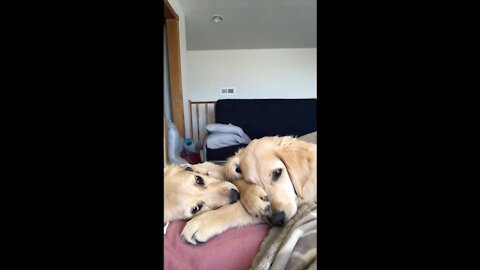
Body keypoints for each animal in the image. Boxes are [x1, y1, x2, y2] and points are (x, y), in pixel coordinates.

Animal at [181, 136, 316, 244]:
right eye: (251, 182)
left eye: (277, 172)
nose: (277, 220)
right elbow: (227, 172)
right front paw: (197, 168)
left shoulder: (305, 196)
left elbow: (237, 208)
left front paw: (201, 223)